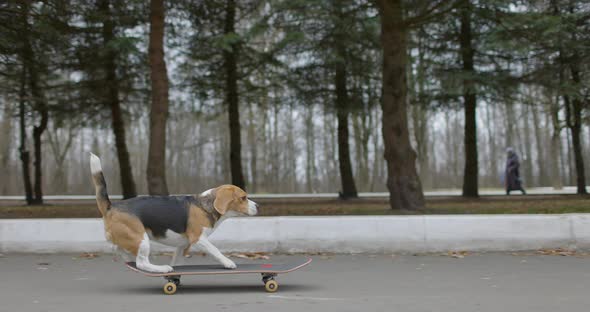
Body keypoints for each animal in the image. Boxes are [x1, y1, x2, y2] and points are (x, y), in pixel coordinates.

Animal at [89, 154, 260, 272]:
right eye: (243, 198)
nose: (258, 206)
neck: (205, 204)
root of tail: (111, 206)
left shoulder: (182, 246)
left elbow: (177, 261)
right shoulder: (199, 239)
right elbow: (215, 250)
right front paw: (228, 262)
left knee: (120, 250)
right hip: (141, 239)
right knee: (142, 263)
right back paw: (161, 269)